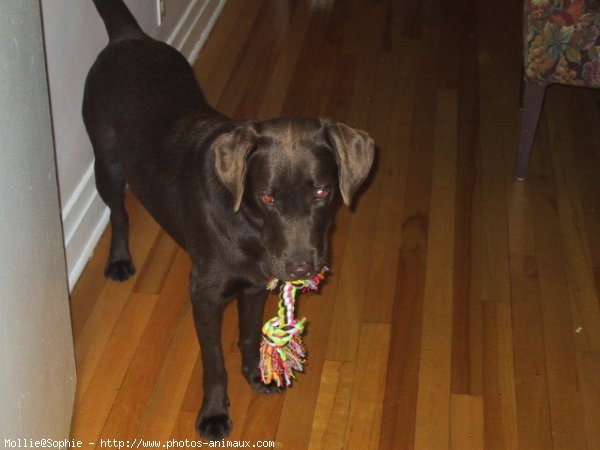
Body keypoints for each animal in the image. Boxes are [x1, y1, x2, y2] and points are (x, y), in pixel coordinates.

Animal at [84, 0, 376, 438]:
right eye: (267, 196)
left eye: (322, 192)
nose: (300, 268)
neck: (251, 229)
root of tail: (127, 36)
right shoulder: (204, 295)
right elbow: (213, 360)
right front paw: (214, 412)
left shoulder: (254, 284)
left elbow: (250, 334)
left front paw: (256, 374)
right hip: (107, 161)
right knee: (118, 212)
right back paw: (119, 259)